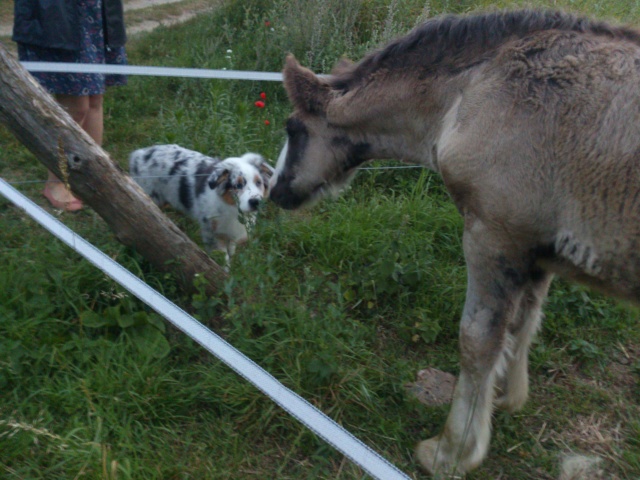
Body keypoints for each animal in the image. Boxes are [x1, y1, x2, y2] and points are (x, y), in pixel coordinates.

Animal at [268, 9, 640, 478]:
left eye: (293, 128)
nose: (275, 191)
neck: (470, 95)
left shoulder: (492, 235)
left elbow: (477, 341)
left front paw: (452, 451)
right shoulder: (536, 250)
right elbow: (523, 322)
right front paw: (506, 397)